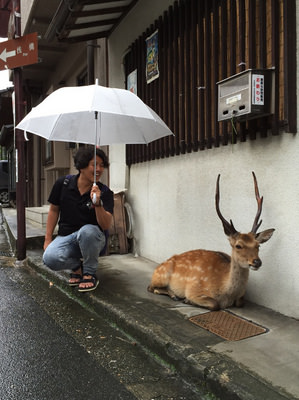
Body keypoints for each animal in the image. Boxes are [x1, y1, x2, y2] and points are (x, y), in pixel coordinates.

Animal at [148, 171, 276, 310]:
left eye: (258, 245)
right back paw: (174, 295)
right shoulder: (194, 289)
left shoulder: (240, 298)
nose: (257, 262)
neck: (226, 294)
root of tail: (159, 266)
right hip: (161, 276)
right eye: (238, 246)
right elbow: (214, 304)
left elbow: (240, 303)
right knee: (151, 287)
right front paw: (187, 300)